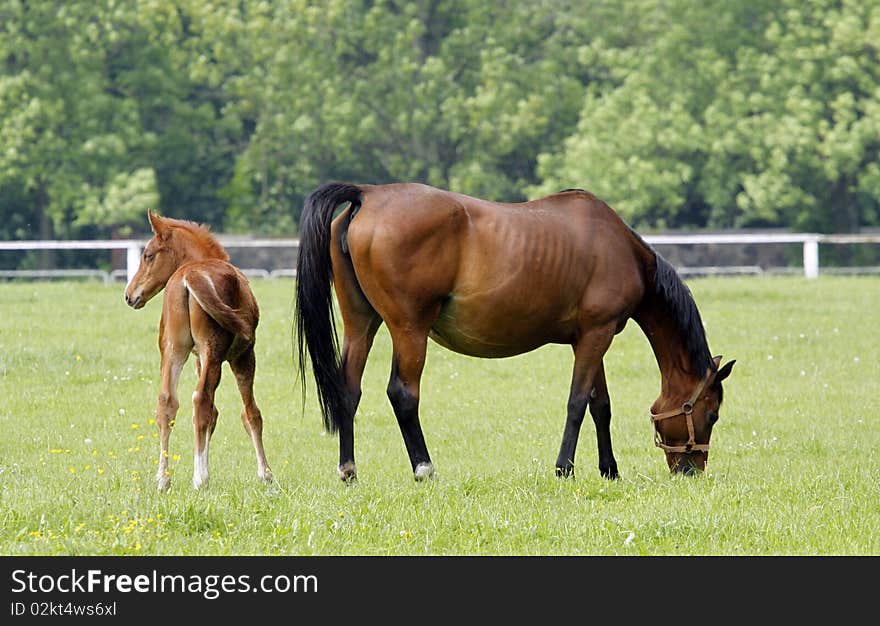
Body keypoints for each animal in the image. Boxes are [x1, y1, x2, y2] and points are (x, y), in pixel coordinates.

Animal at [124, 212, 272, 490]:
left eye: (148, 255)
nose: (129, 295)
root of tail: (189, 277)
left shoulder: (197, 360)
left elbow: (213, 415)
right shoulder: (243, 355)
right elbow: (250, 413)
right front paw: (265, 473)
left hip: (172, 350)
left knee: (167, 402)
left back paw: (164, 479)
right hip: (214, 351)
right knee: (200, 400)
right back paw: (200, 477)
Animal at [296, 183, 736, 480]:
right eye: (712, 413)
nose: (691, 469)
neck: (621, 248)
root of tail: (368, 194)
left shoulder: (592, 337)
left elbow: (601, 406)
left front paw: (609, 470)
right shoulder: (596, 336)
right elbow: (578, 402)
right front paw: (564, 468)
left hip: (361, 324)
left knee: (348, 391)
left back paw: (349, 469)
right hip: (409, 329)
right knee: (403, 394)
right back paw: (424, 467)